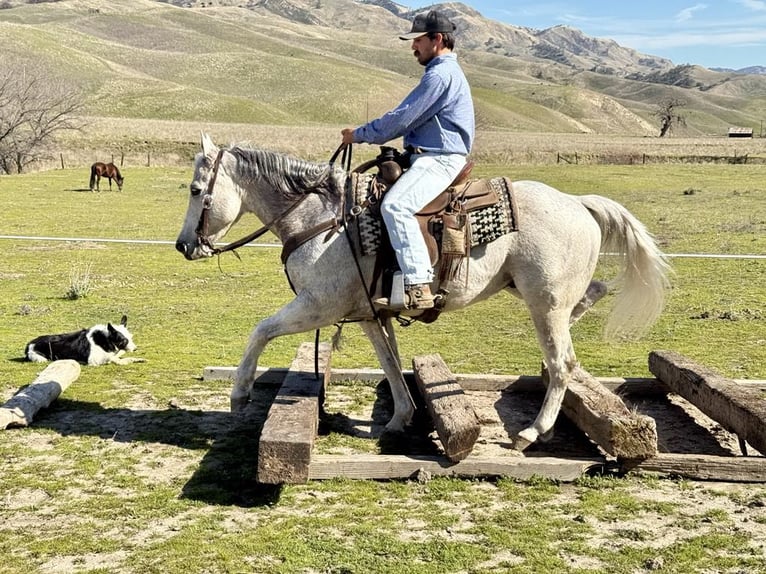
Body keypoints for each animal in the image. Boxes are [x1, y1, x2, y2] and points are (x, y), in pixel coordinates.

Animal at [175, 133, 671, 451]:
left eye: (197, 190)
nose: (183, 245)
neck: (323, 220)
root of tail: (578, 203)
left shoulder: (318, 306)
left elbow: (260, 331)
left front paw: (239, 395)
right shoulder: (368, 313)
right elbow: (390, 363)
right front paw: (399, 418)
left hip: (542, 301)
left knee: (563, 362)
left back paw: (533, 432)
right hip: (537, 292)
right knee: (591, 298)